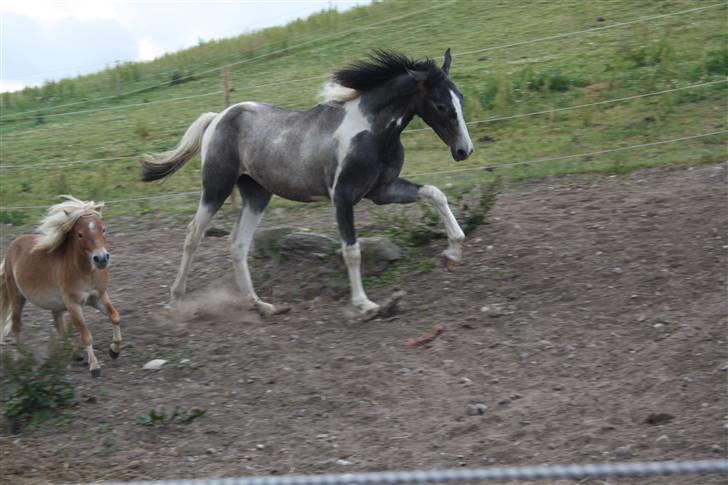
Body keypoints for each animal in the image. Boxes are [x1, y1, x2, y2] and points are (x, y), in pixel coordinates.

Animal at [0, 195, 122, 376]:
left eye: (103, 229)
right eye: (80, 234)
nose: (101, 259)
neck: (84, 272)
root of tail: (14, 244)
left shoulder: (98, 297)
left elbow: (115, 317)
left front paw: (114, 350)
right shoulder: (73, 305)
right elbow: (86, 335)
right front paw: (95, 367)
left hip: (55, 305)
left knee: (59, 326)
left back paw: (74, 354)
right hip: (17, 297)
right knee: (17, 324)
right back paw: (21, 358)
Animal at [143, 48, 474, 314]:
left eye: (461, 99)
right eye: (441, 105)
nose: (464, 151)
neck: (372, 132)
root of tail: (218, 116)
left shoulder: (382, 190)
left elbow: (435, 193)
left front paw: (454, 250)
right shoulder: (342, 197)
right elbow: (351, 250)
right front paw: (364, 304)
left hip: (257, 194)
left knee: (238, 244)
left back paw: (260, 305)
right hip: (216, 187)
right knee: (193, 235)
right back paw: (176, 301)